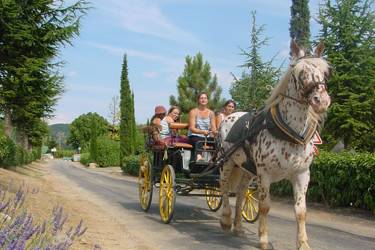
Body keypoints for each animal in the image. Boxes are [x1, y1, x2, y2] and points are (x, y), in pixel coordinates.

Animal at [217, 40, 332, 249]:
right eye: (299, 72)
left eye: (325, 72)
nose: (322, 101)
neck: (291, 133)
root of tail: (229, 116)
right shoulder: (265, 174)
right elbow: (264, 206)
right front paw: (263, 239)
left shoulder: (302, 174)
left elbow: (301, 211)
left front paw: (303, 243)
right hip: (227, 163)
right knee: (224, 188)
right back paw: (226, 220)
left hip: (247, 169)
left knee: (240, 193)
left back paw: (238, 227)